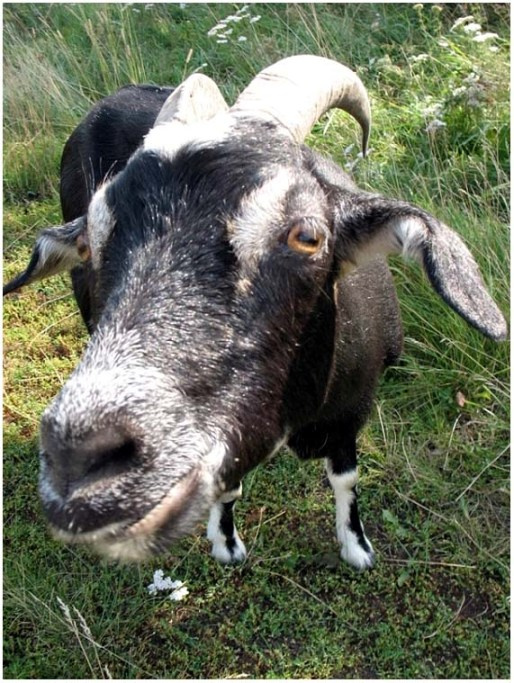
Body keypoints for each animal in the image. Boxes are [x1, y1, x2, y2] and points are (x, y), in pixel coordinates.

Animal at [4, 56, 506, 570]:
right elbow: (228, 487)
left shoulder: (354, 409)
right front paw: (226, 542)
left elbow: (345, 478)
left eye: (308, 236)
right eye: (90, 240)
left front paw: (357, 547)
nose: (79, 459)